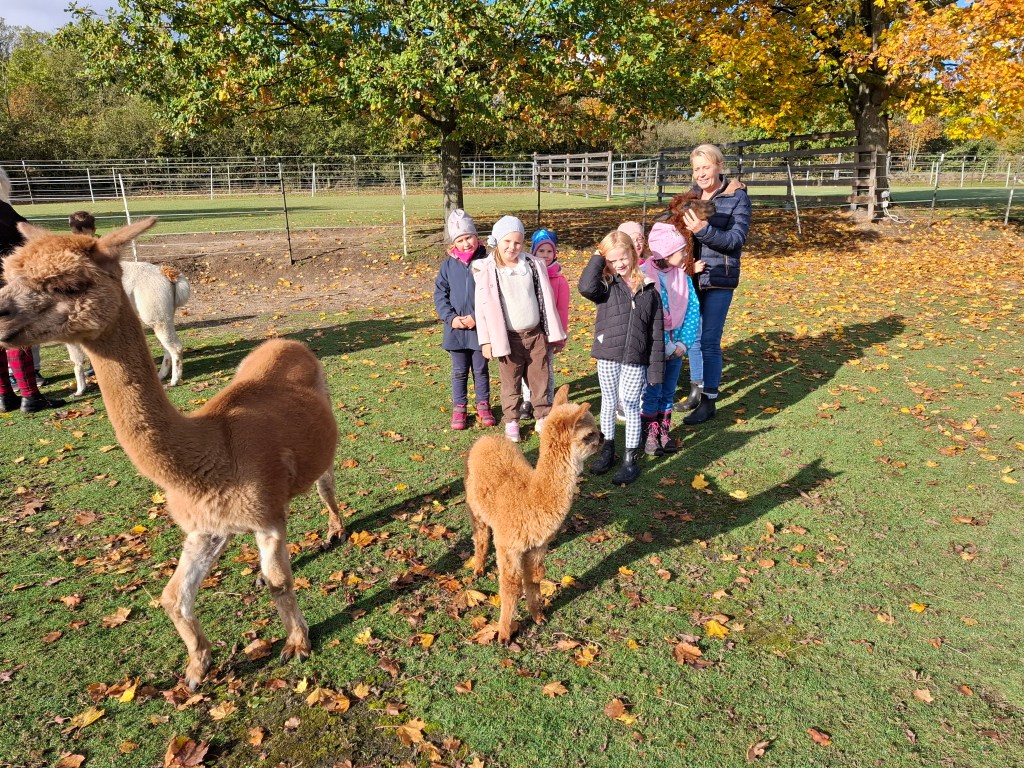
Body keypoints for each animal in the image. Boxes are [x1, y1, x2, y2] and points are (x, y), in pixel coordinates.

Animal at [0, 218, 345, 689]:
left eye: (70, 284)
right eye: (7, 276)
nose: (1, 317)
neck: (212, 452)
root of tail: (285, 341)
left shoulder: (266, 514)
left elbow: (280, 582)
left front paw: (297, 644)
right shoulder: (205, 525)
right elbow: (172, 596)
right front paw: (197, 669)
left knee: (326, 482)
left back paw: (335, 531)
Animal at [465, 385, 601, 643]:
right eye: (589, 434)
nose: (605, 438)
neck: (531, 498)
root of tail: (486, 438)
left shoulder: (537, 546)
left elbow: (534, 578)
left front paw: (538, 616)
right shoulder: (509, 546)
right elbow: (510, 586)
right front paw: (504, 634)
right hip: (474, 506)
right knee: (481, 536)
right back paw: (478, 567)